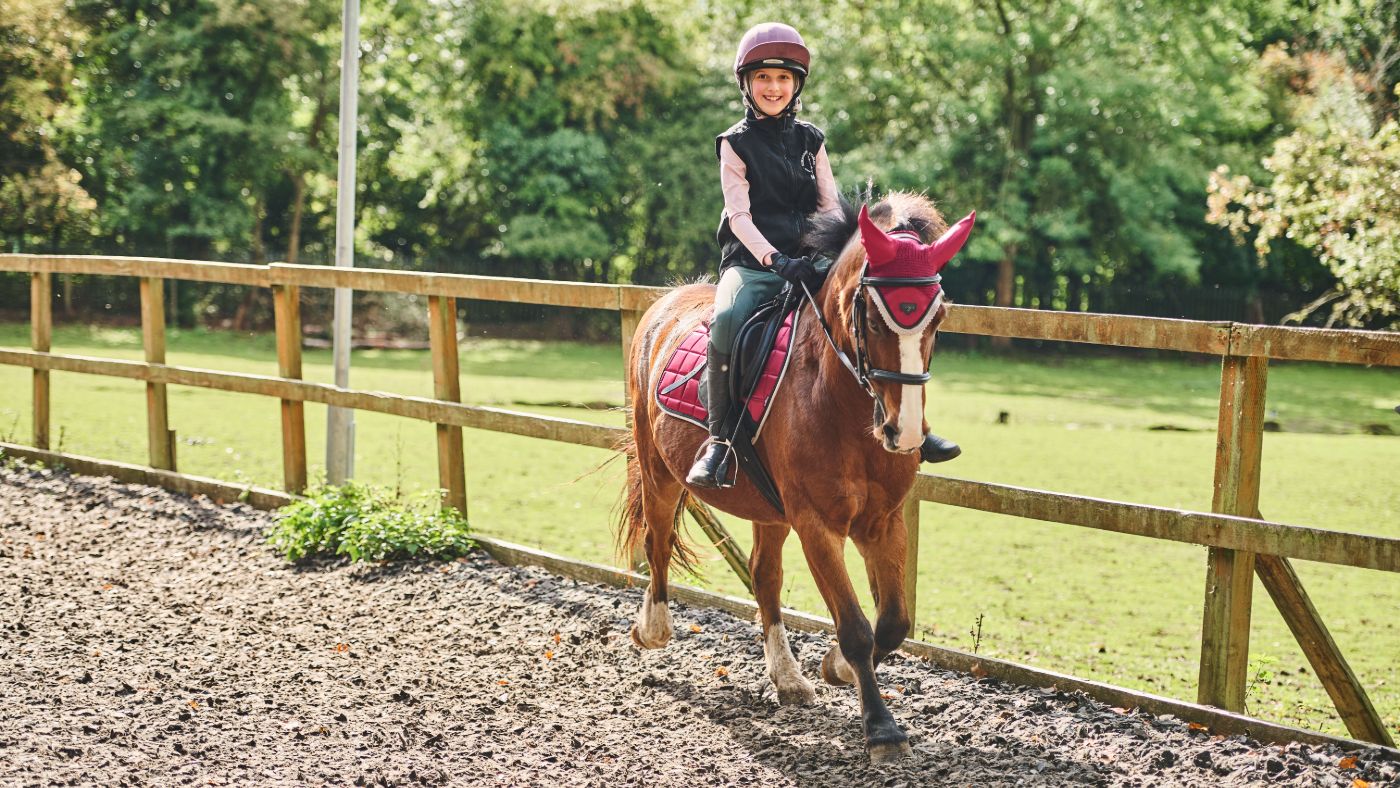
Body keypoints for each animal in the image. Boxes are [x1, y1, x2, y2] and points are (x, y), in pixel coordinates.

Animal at [617, 191, 974, 763]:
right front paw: (882, 729)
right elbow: (856, 626)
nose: (905, 432)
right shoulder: (817, 526)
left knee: (764, 575)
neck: (842, 404)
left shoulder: (883, 522)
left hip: (767, 508)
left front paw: (835, 667)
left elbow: (893, 623)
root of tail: (665, 302)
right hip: (658, 471)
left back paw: (787, 678)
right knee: (657, 540)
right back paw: (653, 629)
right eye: (873, 318)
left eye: (937, 316)